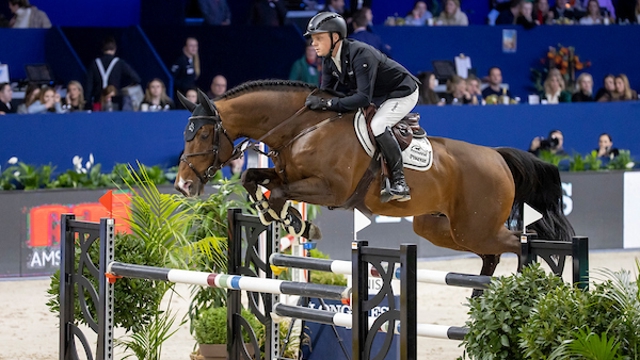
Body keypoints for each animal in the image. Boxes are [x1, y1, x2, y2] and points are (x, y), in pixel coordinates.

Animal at [175, 81, 576, 282]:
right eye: (186, 133)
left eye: (202, 134)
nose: (182, 186)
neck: (303, 126)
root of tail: (497, 156)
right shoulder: (287, 173)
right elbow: (253, 177)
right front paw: (282, 217)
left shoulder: (330, 189)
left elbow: (279, 192)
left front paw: (294, 222)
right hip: (445, 229)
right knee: (493, 254)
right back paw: (483, 297)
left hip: (476, 226)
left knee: (523, 243)